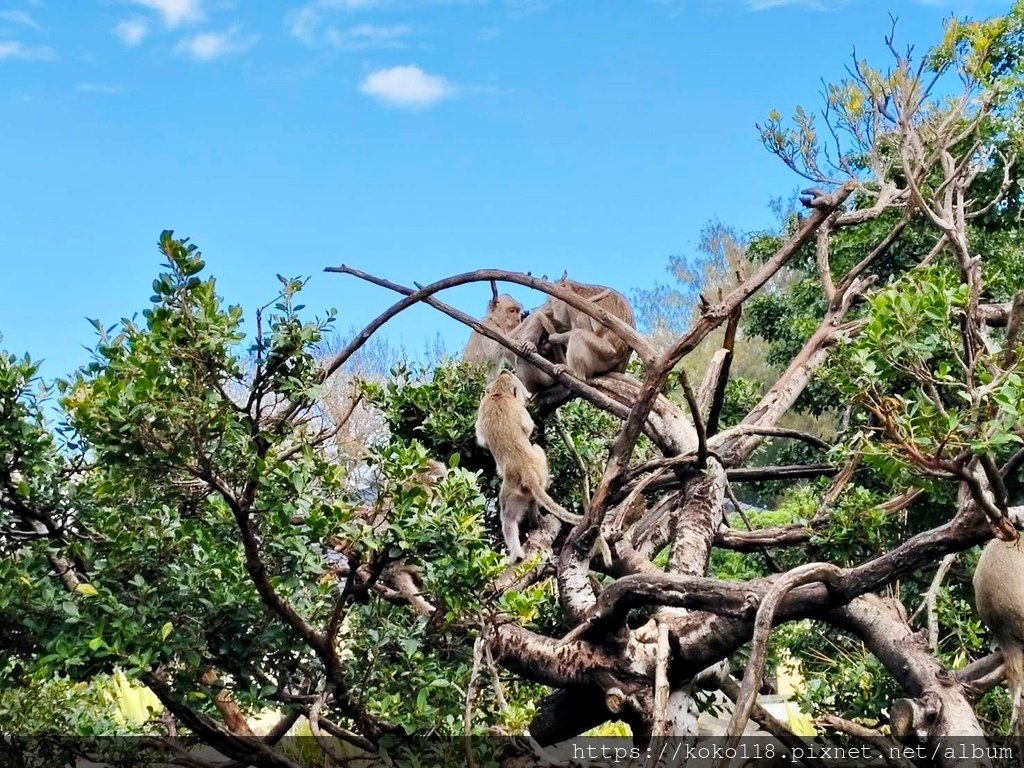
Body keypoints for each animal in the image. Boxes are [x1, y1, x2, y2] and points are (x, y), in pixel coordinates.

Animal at [473, 370, 581, 561]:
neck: (498, 394)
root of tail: (526, 472)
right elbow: (527, 427)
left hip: (512, 491)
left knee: (508, 517)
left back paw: (517, 553)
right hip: (538, 468)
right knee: (537, 448)